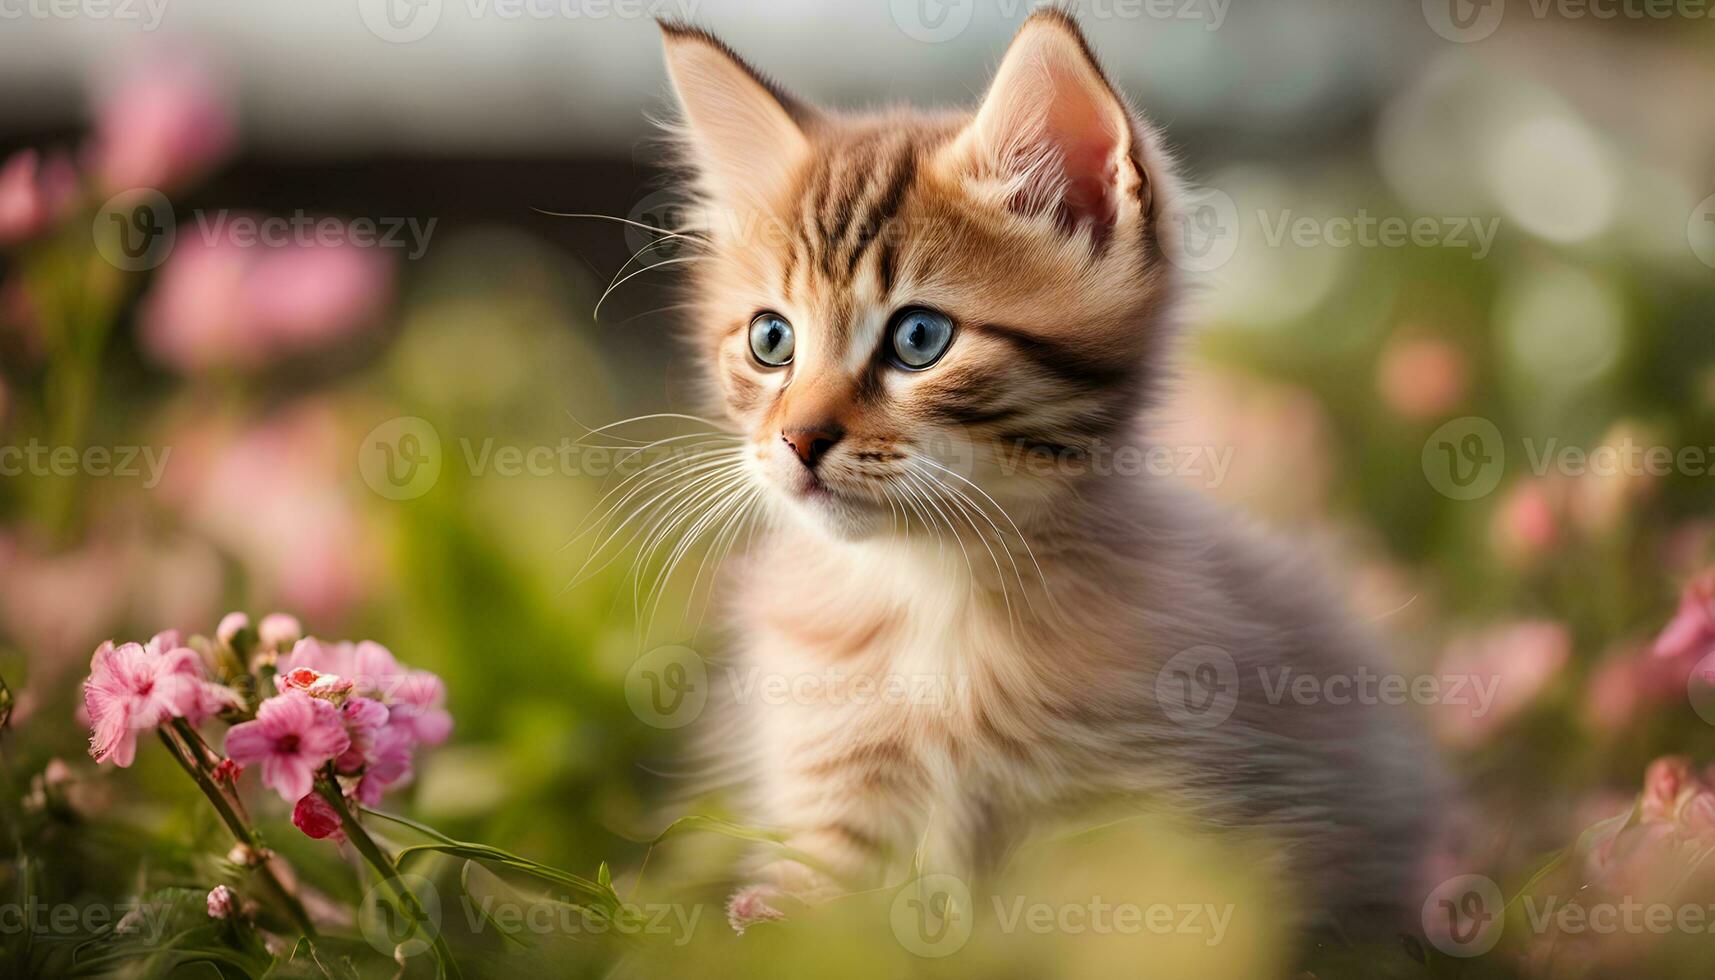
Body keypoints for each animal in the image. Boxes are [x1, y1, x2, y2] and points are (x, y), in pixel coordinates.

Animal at [648, 11, 1440, 940]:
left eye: (918, 339)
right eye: (771, 340)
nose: (799, 438)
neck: (930, 590)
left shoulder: (1134, 826)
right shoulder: (831, 799)